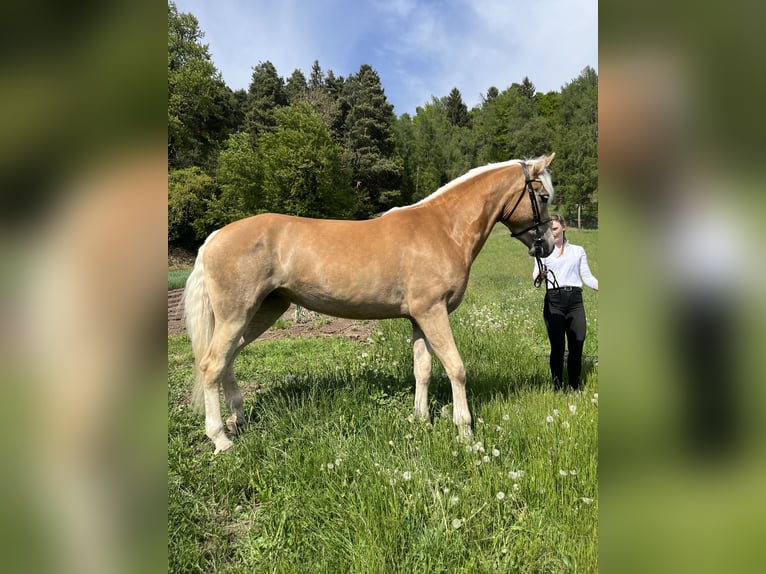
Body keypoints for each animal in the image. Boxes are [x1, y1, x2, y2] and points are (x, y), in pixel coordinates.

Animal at [184, 154, 556, 453]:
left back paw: (238, 419)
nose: (548, 245)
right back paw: (220, 439)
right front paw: (464, 432)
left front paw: (421, 420)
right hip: (237, 314)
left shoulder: (419, 317)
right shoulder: (433, 312)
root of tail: (214, 237)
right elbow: (456, 368)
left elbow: (422, 369)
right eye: (542, 196)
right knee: (212, 365)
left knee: (228, 359)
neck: (443, 229)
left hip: (264, 310)